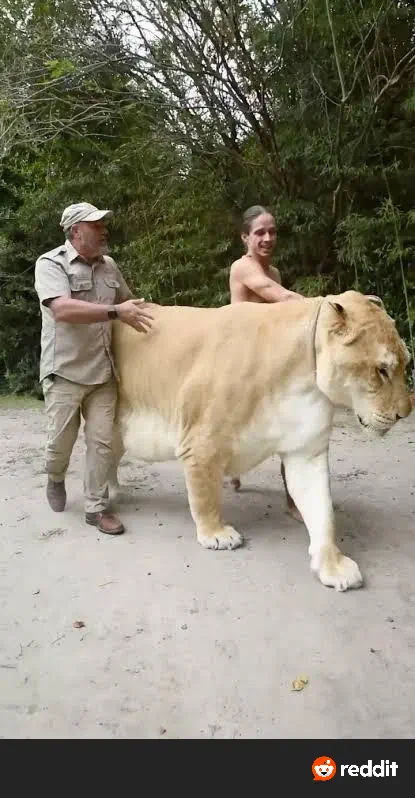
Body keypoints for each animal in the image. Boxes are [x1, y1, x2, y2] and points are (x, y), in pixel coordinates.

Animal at [110, 290, 412, 592]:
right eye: (382, 370)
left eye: (404, 363)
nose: (405, 413)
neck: (303, 378)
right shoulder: (202, 444)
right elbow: (205, 495)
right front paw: (216, 535)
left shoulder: (306, 453)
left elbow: (322, 512)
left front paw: (334, 566)